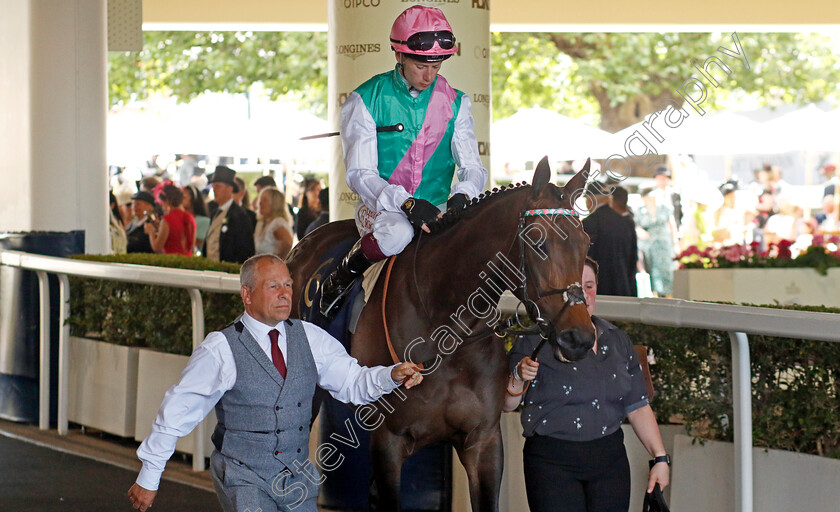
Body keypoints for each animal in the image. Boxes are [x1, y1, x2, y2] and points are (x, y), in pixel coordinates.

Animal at [288, 158, 596, 510]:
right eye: (537, 242)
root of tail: (303, 244)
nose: (579, 337)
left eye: (586, 242)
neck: (446, 332)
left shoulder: (484, 441)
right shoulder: (388, 441)